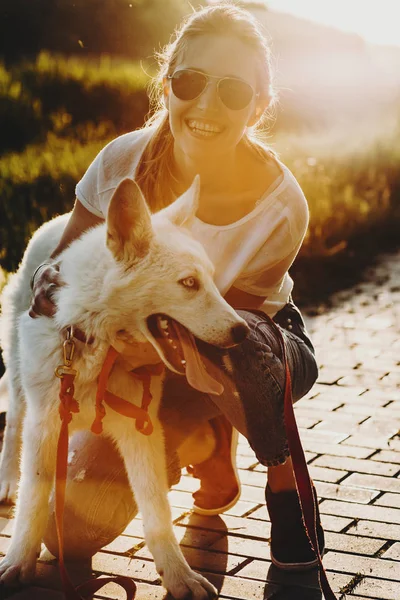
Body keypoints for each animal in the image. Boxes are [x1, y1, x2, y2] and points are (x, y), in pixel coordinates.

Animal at [0, 176, 247, 596]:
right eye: (189, 283)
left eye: (211, 281)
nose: (243, 331)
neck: (96, 348)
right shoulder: (44, 427)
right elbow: (33, 503)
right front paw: (18, 563)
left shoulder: (141, 431)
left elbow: (157, 510)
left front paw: (178, 576)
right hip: (21, 389)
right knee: (13, 429)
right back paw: (7, 485)